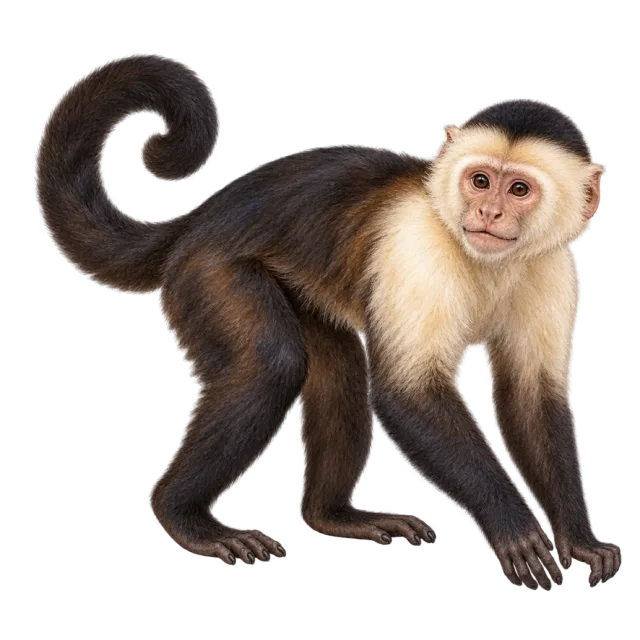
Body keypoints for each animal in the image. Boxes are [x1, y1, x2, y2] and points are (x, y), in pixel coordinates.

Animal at [35, 53, 621, 588]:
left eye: (518, 190)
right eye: (480, 181)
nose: (488, 214)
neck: (484, 257)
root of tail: (201, 220)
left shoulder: (553, 269)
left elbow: (531, 398)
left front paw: (578, 538)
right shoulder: (416, 246)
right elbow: (407, 392)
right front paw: (513, 526)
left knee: (338, 370)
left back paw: (332, 516)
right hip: (206, 271)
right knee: (272, 363)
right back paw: (186, 518)